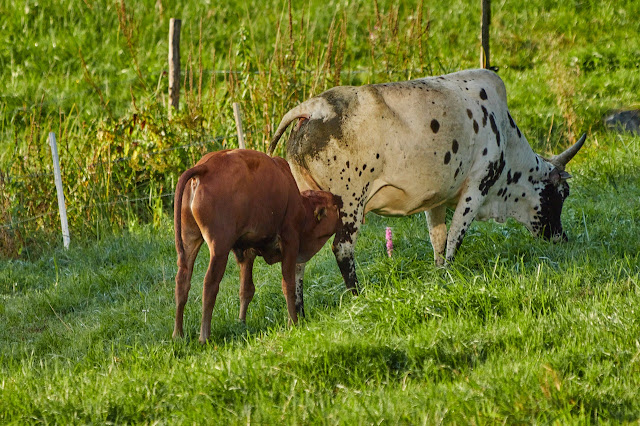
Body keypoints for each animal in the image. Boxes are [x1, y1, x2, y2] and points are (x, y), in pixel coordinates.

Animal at [173, 149, 341, 343]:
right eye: (332, 205)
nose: (338, 198)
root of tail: (205, 167)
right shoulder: (290, 241)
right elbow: (288, 285)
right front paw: (293, 322)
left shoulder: (247, 253)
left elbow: (246, 289)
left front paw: (241, 323)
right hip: (219, 249)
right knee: (209, 285)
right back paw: (204, 337)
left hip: (189, 240)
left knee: (183, 281)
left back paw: (178, 334)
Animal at [268, 69, 586, 294]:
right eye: (562, 192)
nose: (561, 238)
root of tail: (314, 108)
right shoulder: (477, 187)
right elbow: (456, 236)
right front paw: (450, 274)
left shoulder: (437, 199)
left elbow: (439, 238)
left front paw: (439, 273)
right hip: (349, 203)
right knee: (342, 249)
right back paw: (357, 295)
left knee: (298, 260)